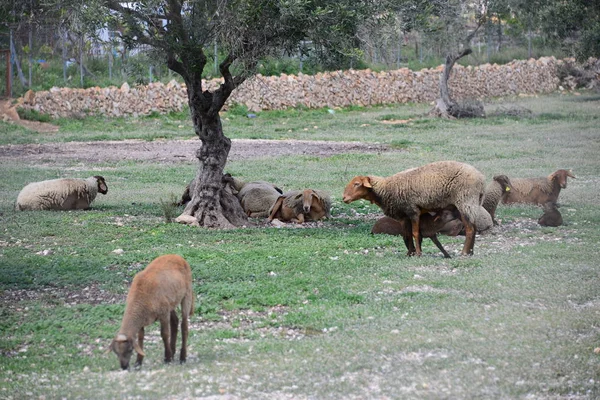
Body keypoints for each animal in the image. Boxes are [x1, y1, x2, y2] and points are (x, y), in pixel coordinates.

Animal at [344, 162, 486, 258]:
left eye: (357, 184)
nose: (344, 198)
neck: (386, 190)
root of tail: (481, 179)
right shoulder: (404, 215)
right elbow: (406, 235)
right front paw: (409, 253)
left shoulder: (413, 211)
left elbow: (415, 233)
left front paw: (417, 253)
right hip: (469, 205)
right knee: (474, 228)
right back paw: (471, 252)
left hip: (465, 201)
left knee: (470, 229)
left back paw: (464, 252)